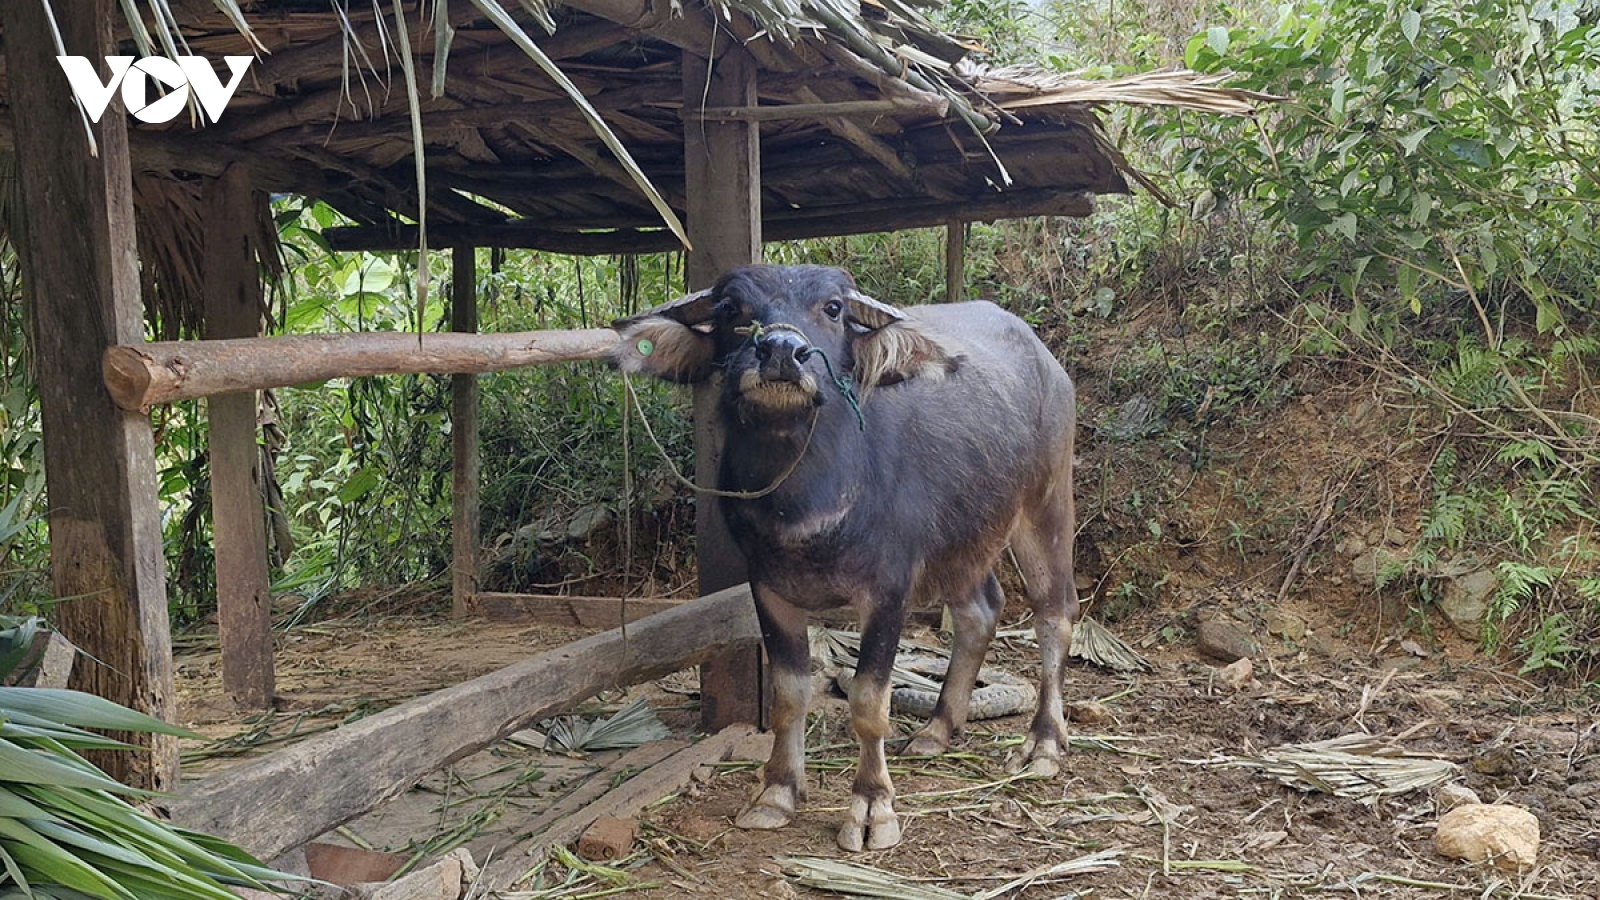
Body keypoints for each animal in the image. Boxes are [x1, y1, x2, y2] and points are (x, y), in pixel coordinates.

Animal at [611, 264, 1088, 845]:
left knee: (1054, 614)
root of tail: (1048, 364)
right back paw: (937, 728)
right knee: (981, 611)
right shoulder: (768, 589)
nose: (781, 351)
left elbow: (868, 701)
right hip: (962, 538)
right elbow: (790, 694)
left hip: (1046, 504)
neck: (804, 498)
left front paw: (872, 807)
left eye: (833, 308)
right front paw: (776, 791)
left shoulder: (888, 590)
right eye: (730, 309)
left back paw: (1043, 743)